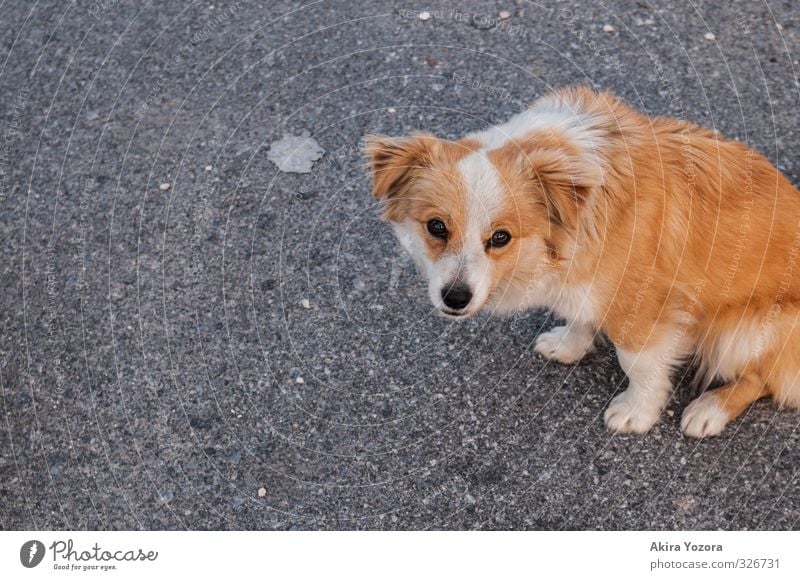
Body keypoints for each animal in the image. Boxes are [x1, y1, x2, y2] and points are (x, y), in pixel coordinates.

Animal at [366, 87, 800, 436]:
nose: (455, 298)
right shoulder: (583, 277)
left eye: (501, 237)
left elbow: (638, 364)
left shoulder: (641, 308)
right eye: (436, 227)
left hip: (744, 331)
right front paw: (569, 345)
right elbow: (580, 315)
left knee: (762, 380)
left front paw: (638, 412)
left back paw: (710, 409)